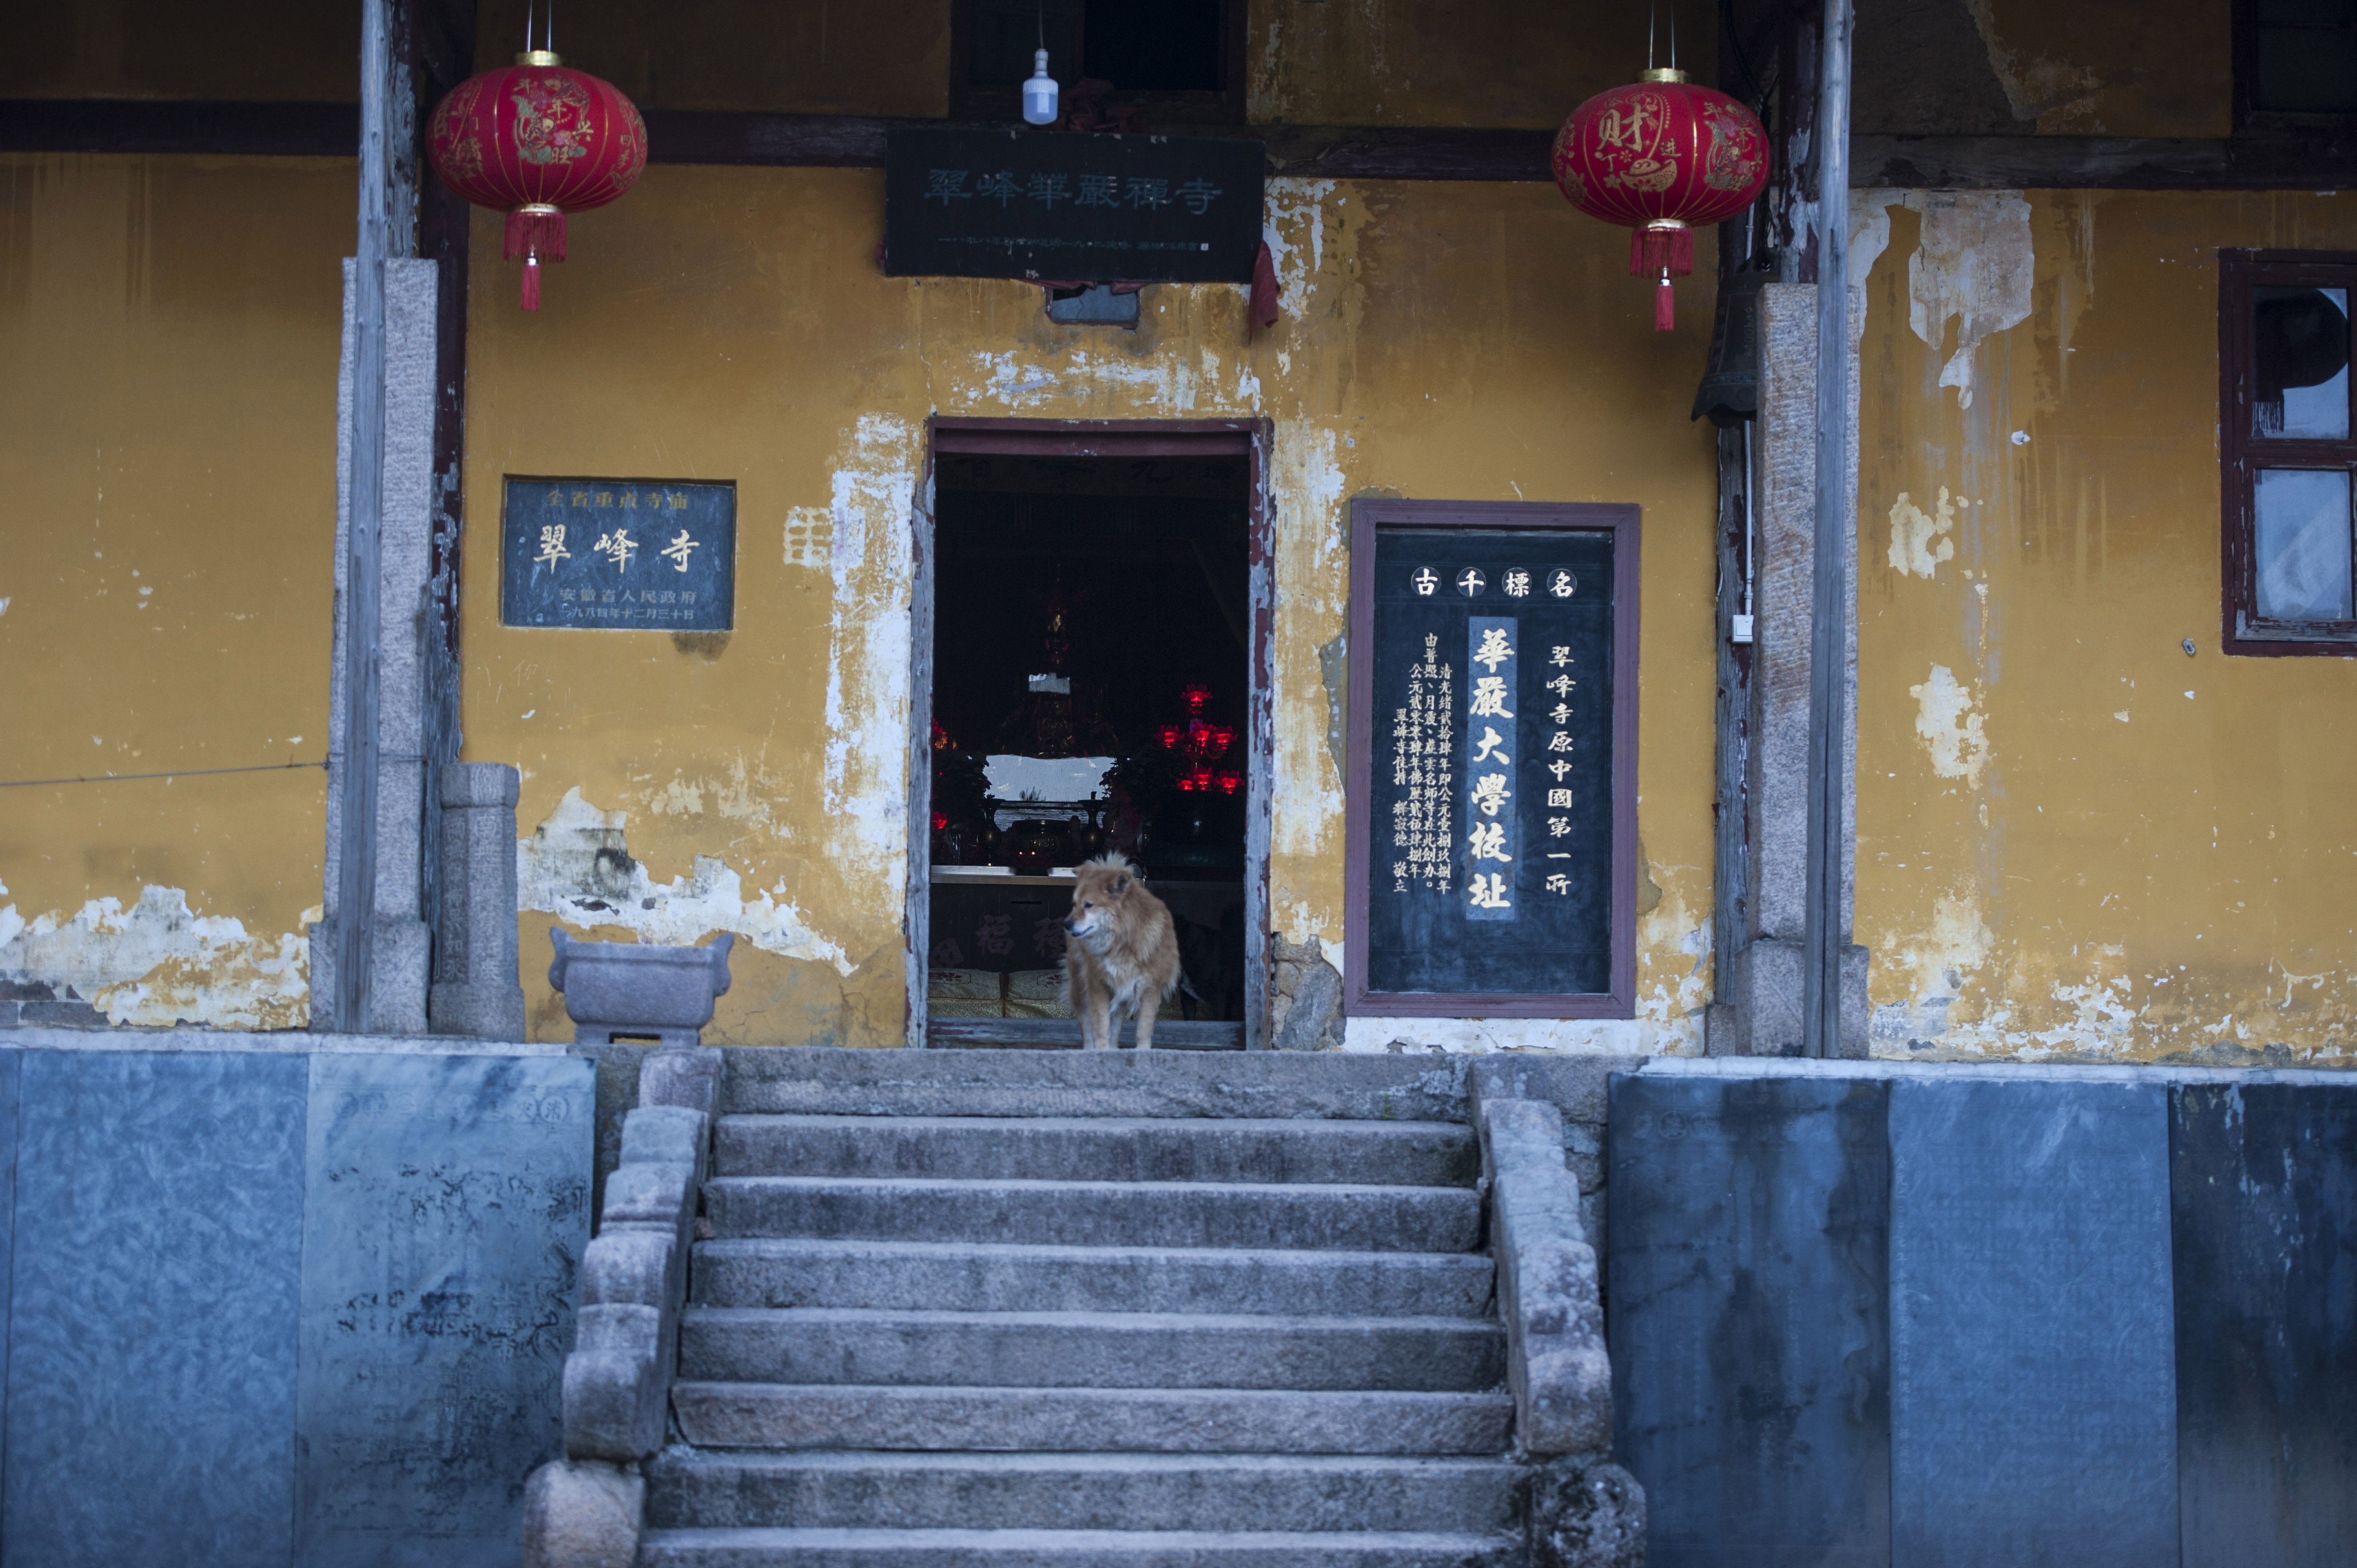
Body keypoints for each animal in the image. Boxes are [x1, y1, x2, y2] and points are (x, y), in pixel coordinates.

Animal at [1065, 858, 1179, 1051]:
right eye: (1074, 904)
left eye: (1089, 905)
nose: (1067, 924)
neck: (1122, 942)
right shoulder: (1098, 985)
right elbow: (1100, 1026)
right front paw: (1100, 1050)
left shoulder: (1150, 989)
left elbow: (1143, 1030)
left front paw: (1142, 1051)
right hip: (1080, 985)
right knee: (1086, 1023)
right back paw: (1089, 1049)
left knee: (1116, 1026)